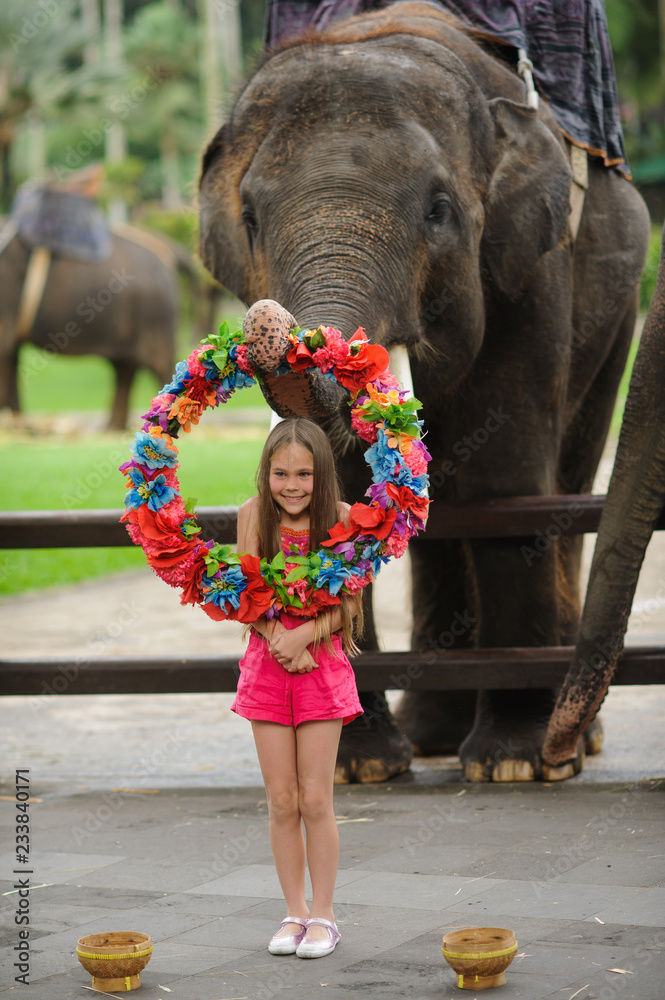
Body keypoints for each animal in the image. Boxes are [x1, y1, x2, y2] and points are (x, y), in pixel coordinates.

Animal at [198, 1, 650, 782]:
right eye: (250, 218)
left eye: (439, 210)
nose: (272, 327)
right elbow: (346, 484)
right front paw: (357, 766)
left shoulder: (530, 269)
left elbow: (506, 471)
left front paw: (511, 764)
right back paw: (433, 733)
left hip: (618, 310)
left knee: (561, 476)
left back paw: (563, 743)